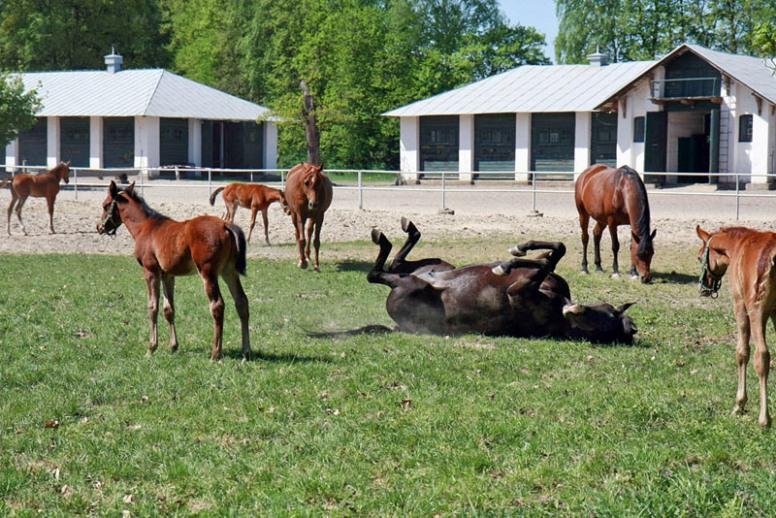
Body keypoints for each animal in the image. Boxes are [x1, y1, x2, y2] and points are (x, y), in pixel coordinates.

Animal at [95, 181, 250, 364]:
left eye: (105, 205)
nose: (99, 227)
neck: (146, 227)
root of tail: (225, 224)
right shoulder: (167, 275)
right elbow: (169, 309)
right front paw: (173, 346)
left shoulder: (151, 271)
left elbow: (152, 307)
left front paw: (151, 348)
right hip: (229, 271)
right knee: (242, 302)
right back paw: (246, 352)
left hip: (208, 273)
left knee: (217, 305)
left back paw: (215, 354)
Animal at [368, 220, 636, 346]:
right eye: (610, 313)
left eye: (603, 327)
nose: (575, 310)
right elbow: (554, 253)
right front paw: (516, 252)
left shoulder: (517, 291)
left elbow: (546, 261)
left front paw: (505, 265)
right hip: (441, 264)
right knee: (395, 263)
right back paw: (407, 230)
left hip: (413, 286)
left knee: (377, 274)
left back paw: (383, 240)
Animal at [696, 225, 776, 428]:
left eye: (700, 257)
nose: (704, 288)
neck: (739, 246)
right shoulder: (775, 313)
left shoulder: (740, 305)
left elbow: (742, 352)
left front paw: (739, 404)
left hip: (755, 311)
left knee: (762, 356)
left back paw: (764, 420)